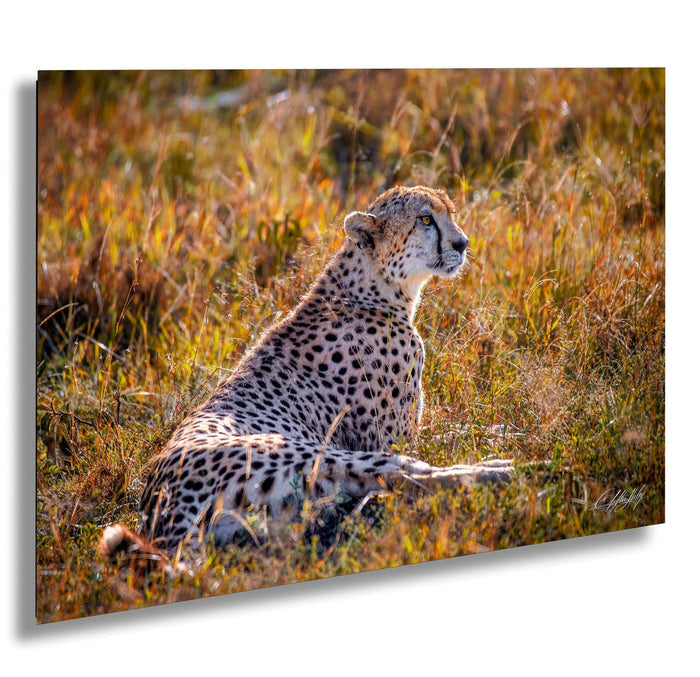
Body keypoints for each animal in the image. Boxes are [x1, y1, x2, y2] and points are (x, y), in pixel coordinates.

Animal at [99, 185, 512, 561]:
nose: (462, 243)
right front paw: (501, 439)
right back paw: (502, 469)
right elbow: (436, 441)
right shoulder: (390, 439)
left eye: (450, 213)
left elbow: (458, 427)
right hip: (312, 453)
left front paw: (498, 428)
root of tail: (158, 505)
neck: (372, 288)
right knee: (406, 475)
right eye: (425, 219)